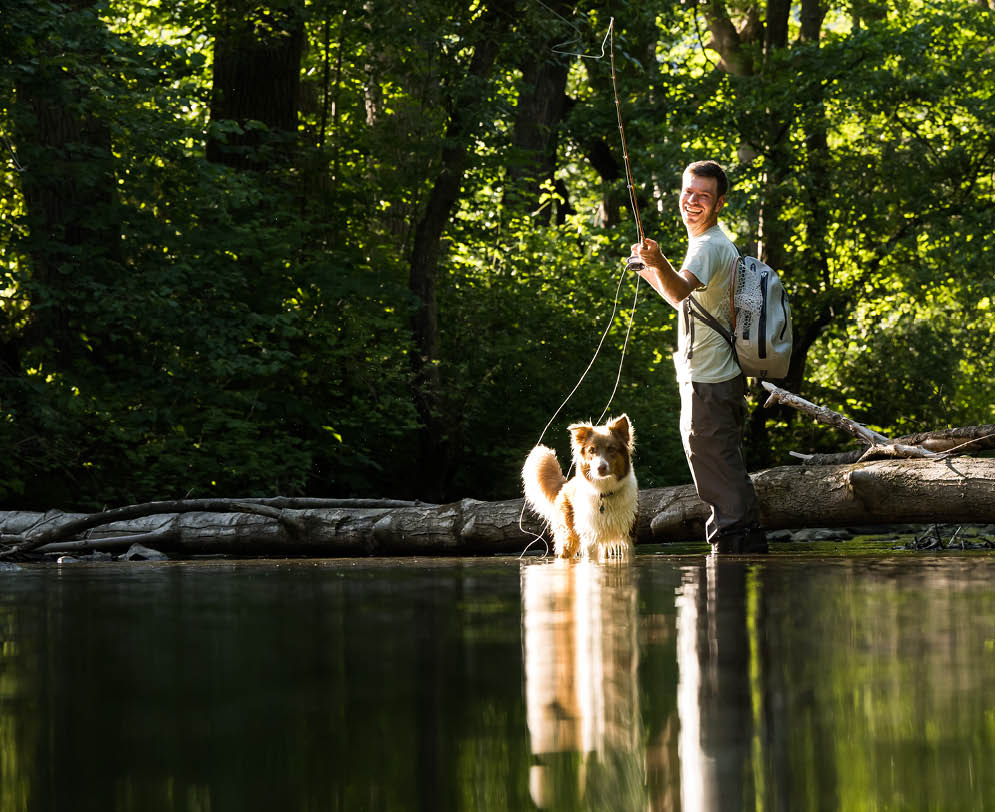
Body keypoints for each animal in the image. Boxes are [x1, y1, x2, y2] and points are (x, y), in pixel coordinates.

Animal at [520, 416, 640, 560]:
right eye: (591, 450)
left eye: (611, 449)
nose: (600, 468)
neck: (604, 492)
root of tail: (565, 485)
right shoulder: (590, 537)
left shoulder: (628, 535)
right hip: (568, 538)